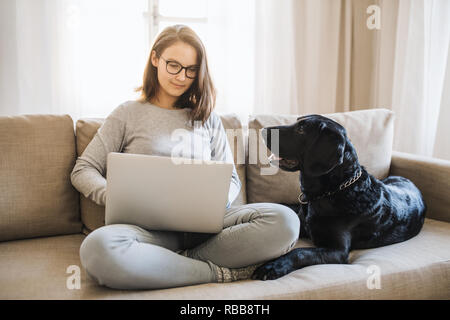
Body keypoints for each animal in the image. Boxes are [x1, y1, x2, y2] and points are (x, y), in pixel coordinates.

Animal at [251, 115, 428, 280]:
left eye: (301, 130)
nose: (263, 130)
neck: (335, 190)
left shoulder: (337, 251)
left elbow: (300, 252)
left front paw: (274, 266)